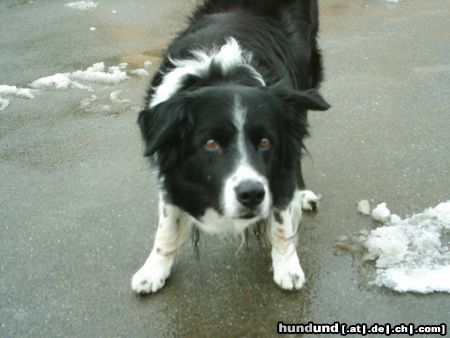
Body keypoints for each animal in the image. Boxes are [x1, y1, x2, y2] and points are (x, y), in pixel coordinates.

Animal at [132, 0, 328, 294]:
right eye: (210, 143)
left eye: (265, 142)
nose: (252, 195)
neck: (222, 76)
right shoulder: (170, 168)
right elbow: (167, 226)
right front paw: (153, 271)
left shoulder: (279, 164)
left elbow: (281, 220)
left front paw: (287, 267)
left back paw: (302, 194)